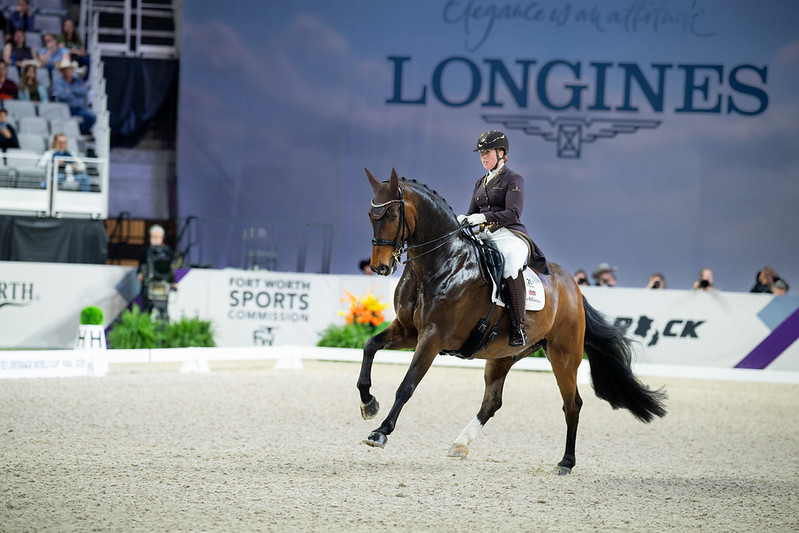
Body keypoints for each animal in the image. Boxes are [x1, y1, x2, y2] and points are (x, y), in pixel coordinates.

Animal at [358, 168, 667, 475]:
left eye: (392, 215)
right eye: (371, 215)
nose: (380, 267)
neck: (443, 263)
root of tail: (574, 288)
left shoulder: (433, 337)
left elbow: (407, 385)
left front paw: (380, 432)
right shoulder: (409, 330)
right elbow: (370, 345)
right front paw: (368, 404)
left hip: (564, 356)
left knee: (572, 404)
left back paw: (566, 462)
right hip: (503, 355)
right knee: (492, 402)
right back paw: (461, 443)